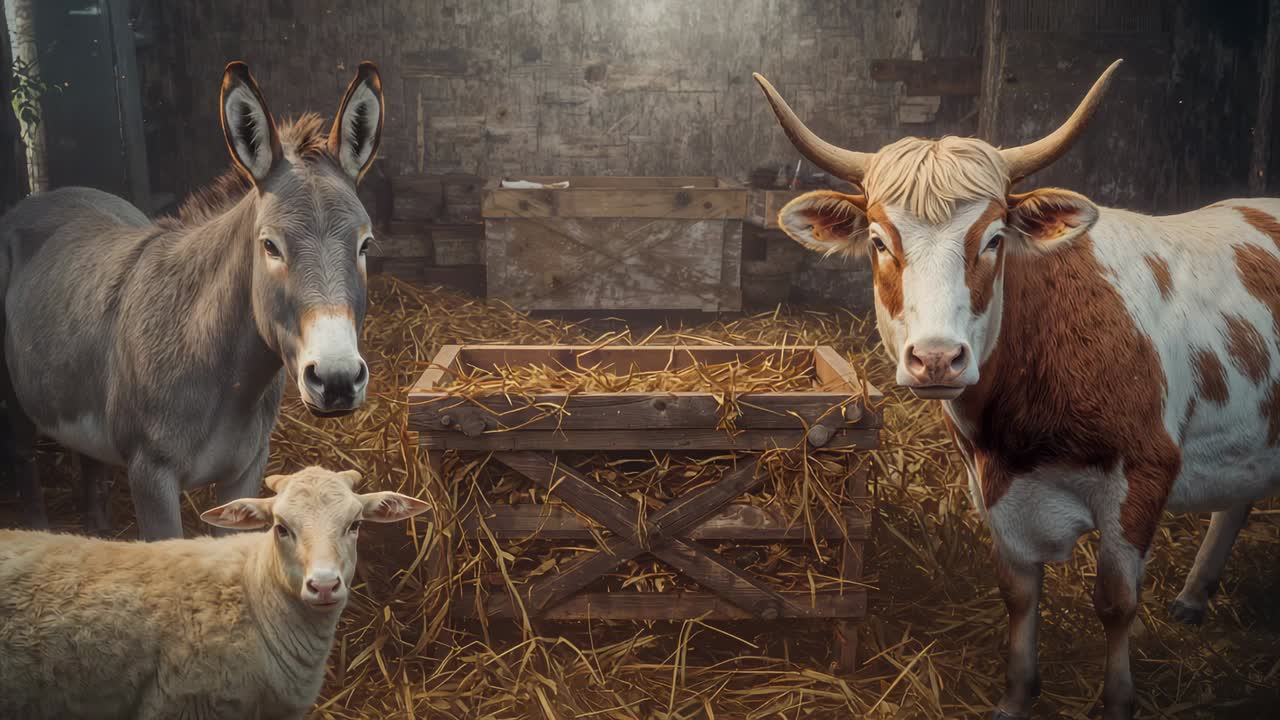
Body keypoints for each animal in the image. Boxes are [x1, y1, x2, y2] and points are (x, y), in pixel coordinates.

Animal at [754, 59, 1280, 719]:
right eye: (878, 241)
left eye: (994, 238)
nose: (936, 358)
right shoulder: (993, 486)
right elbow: (1018, 594)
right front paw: (1016, 693)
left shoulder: (1144, 474)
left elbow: (1116, 602)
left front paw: (1117, 700)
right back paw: (1193, 594)